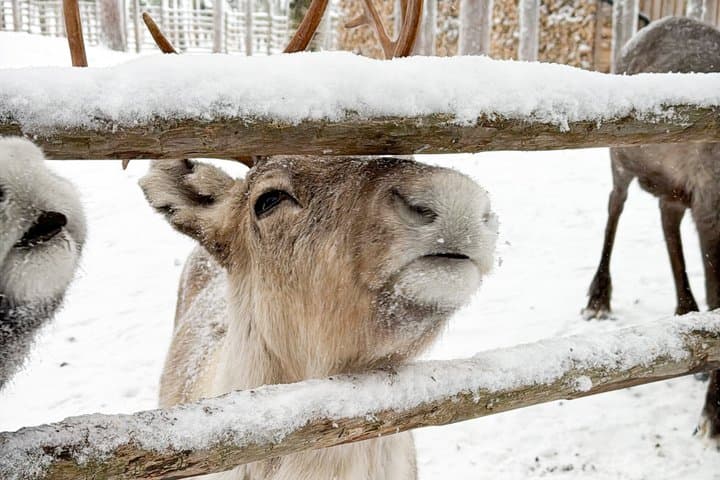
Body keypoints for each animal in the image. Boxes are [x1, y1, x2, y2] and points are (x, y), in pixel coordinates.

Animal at [582, 16, 720, 443]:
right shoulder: (711, 208)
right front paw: (714, 415)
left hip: (673, 184)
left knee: (667, 217)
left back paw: (685, 311)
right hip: (621, 156)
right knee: (615, 205)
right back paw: (599, 296)